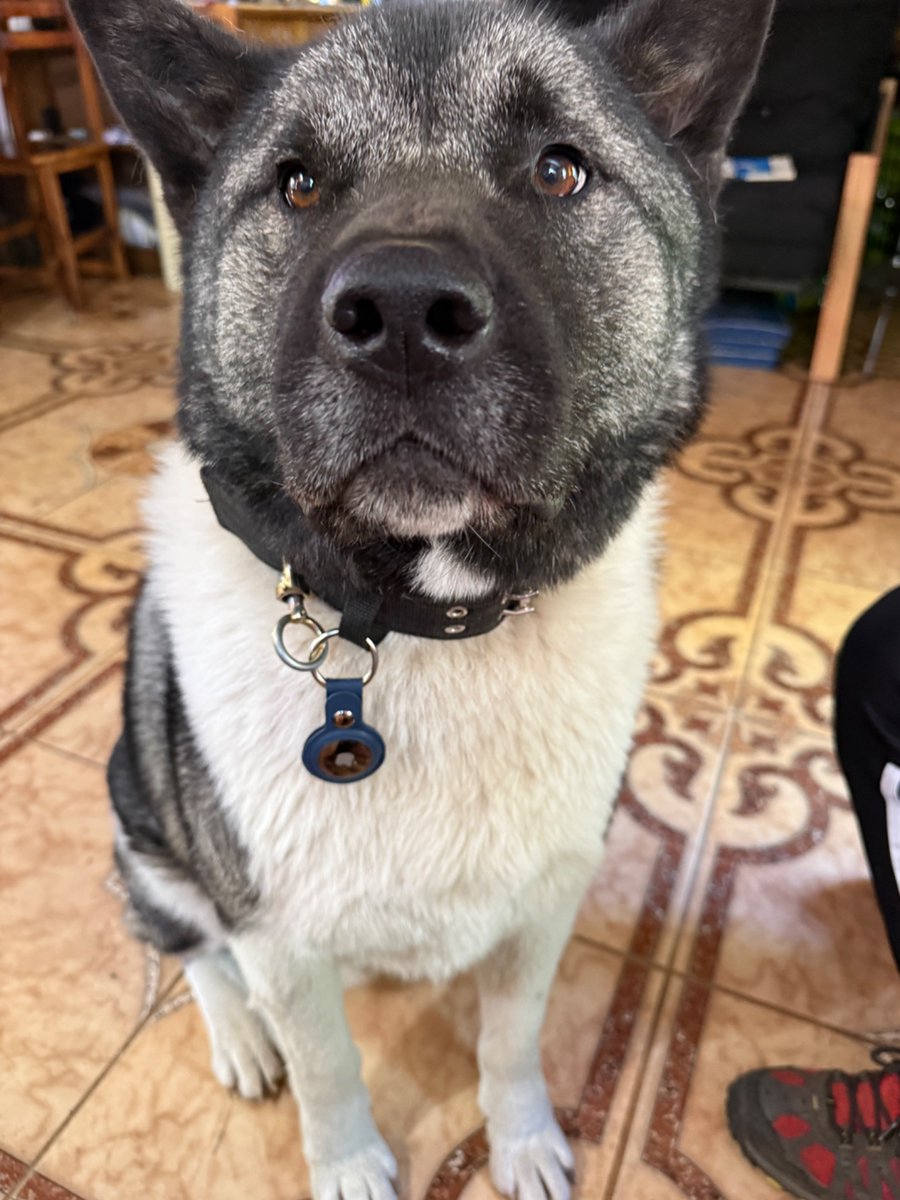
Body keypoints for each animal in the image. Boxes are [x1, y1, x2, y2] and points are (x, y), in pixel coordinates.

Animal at [69, 0, 772, 1196]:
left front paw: (522, 1139)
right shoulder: (277, 938)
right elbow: (328, 1069)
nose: (400, 312)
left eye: (559, 168)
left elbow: (511, 1039)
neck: (422, 625)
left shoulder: (545, 911)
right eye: (297, 182)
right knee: (191, 951)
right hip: (140, 829)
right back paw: (240, 1035)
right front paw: (350, 1161)